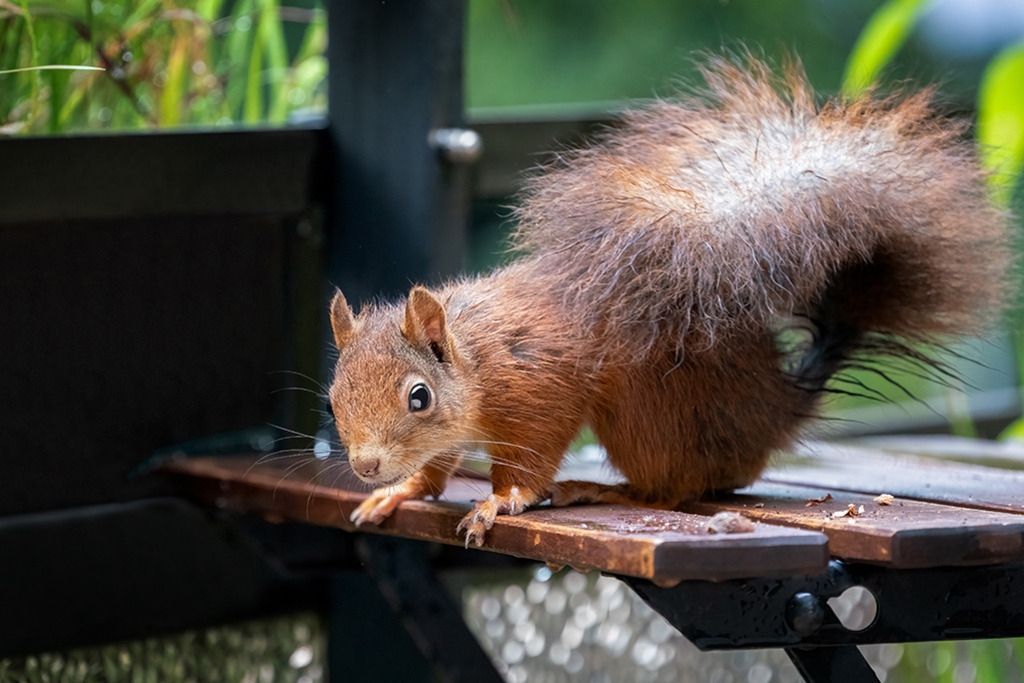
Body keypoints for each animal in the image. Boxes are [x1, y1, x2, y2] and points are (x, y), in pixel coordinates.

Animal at [327, 56, 1011, 547]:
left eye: (419, 397)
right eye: (333, 396)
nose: (366, 465)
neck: (477, 355)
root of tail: (776, 407)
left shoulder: (541, 384)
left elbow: (531, 458)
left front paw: (500, 500)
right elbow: (437, 464)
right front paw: (401, 490)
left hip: (644, 410)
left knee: (674, 488)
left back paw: (609, 491)